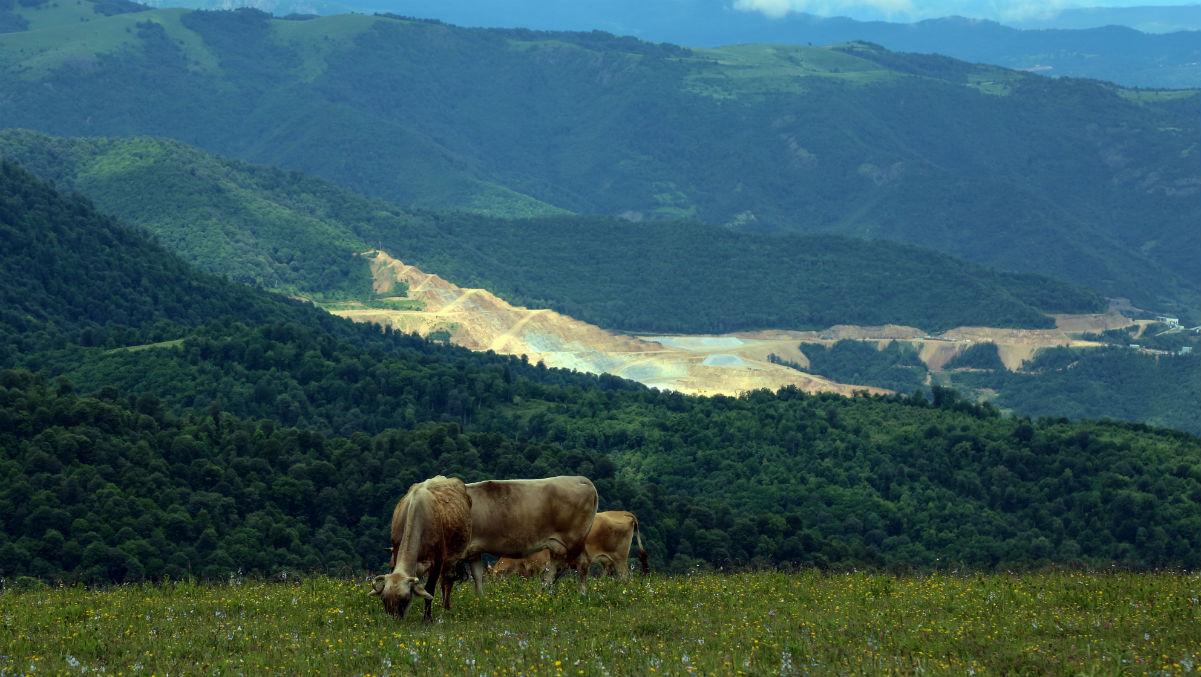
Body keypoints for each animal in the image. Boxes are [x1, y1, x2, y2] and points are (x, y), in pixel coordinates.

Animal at [372, 472, 470, 619]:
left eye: (405, 599)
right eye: (384, 599)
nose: (393, 620)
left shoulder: (437, 561)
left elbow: (429, 590)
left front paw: (427, 618)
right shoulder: (395, 551)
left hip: (452, 559)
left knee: (447, 581)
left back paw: (446, 608)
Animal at [458, 475, 595, 592]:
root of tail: (579, 479)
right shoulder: (473, 551)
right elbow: (477, 576)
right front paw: (480, 598)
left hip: (573, 541)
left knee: (580, 564)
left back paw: (580, 594)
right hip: (560, 545)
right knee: (558, 567)